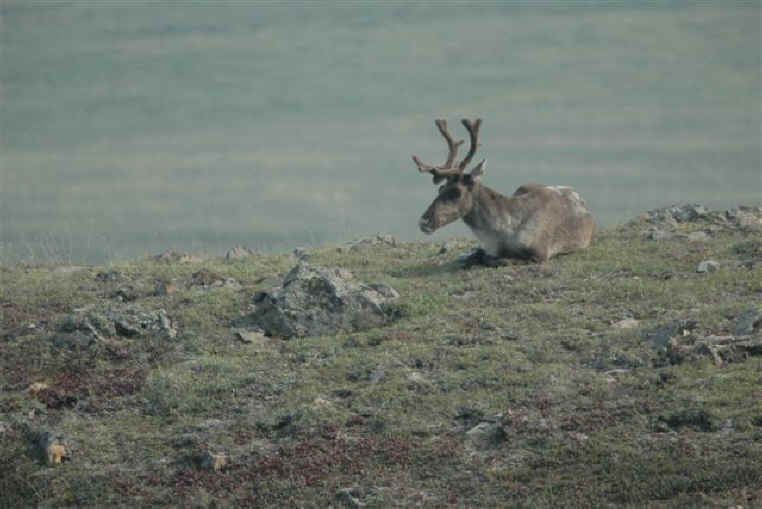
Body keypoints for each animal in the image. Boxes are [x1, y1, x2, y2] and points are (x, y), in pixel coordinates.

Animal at [412, 118, 595, 265]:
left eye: (456, 192)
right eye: (440, 188)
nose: (423, 221)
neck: (502, 232)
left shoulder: (540, 253)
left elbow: (500, 260)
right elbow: (481, 254)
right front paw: (469, 256)